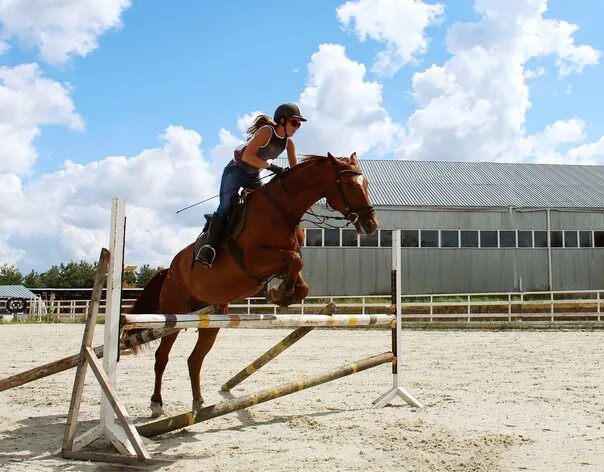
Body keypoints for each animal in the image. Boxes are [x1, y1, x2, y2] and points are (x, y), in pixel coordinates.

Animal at [130, 152, 380, 416]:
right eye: (351, 186)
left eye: (366, 185)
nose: (371, 225)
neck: (282, 210)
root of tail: (169, 269)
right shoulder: (254, 259)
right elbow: (295, 260)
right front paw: (280, 293)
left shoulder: (282, 260)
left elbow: (300, 278)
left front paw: (281, 294)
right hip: (173, 314)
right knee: (162, 357)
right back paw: (157, 404)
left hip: (212, 319)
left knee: (194, 359)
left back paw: (198, 401)